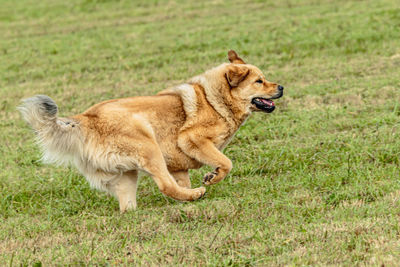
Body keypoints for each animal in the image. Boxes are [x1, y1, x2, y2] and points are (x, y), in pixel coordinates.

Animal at [18, 50, 282, 214]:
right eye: (259, 81)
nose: (281, 87)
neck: (215, 99)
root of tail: (85, 120)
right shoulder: (192, 139)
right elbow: (226, 163)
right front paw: (212, 177)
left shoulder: (178, 165)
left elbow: (186, 176)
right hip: (149, 147)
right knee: (165, 186)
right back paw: (197, 194)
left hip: (126, 175)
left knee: (128, 207)